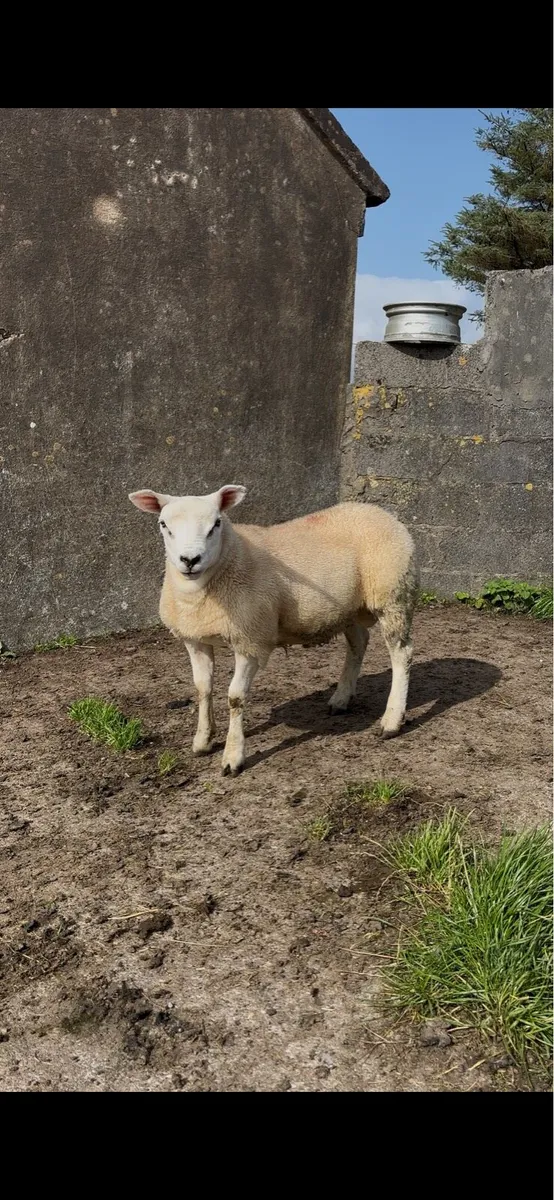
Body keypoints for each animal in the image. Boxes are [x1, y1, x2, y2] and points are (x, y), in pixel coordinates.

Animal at [129, 485, 418, 776]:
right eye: (163, 524)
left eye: (216, 524)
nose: (190, 560)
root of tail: (378, 511)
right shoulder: (195, 639)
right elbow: (203, 688)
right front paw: (203, 741)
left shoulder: (251, 640)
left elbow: (235, 697)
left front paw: (233, 757)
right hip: (349, 608)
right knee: (359, 643)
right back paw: (341, 698)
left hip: (392, 595)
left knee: (402, 654)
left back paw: (392, 719)